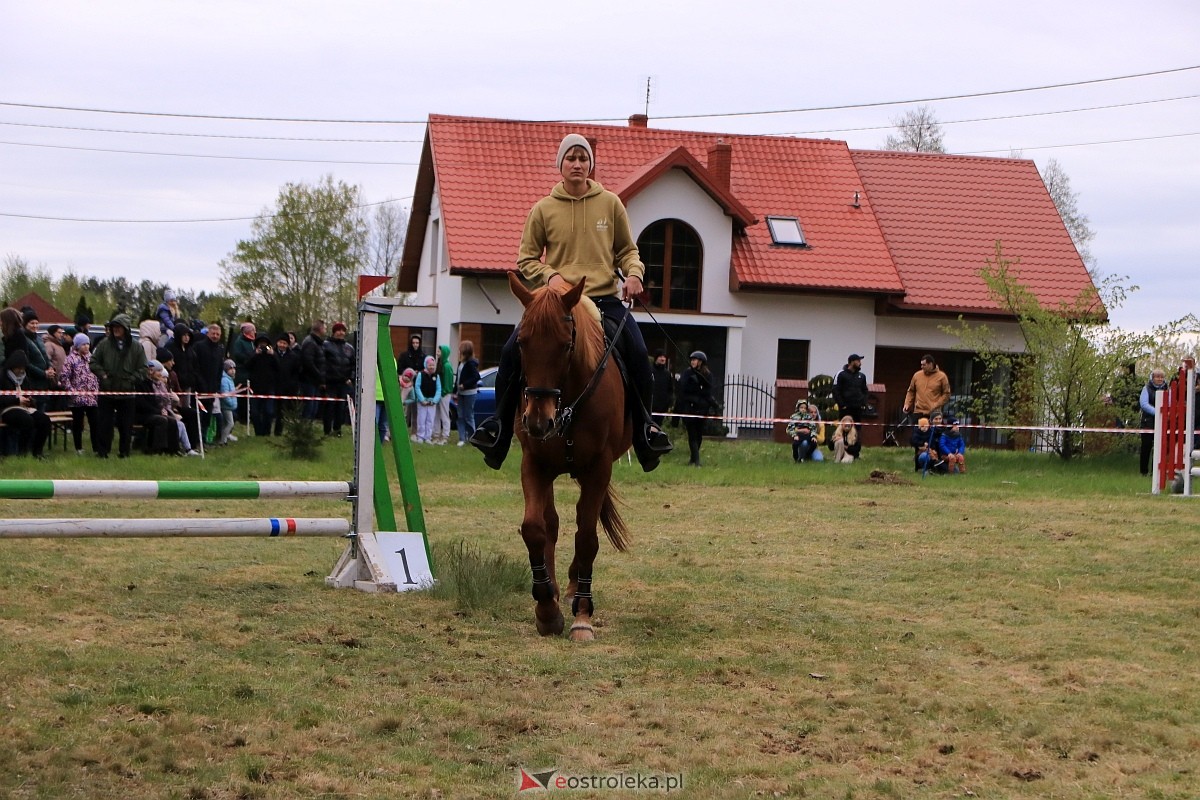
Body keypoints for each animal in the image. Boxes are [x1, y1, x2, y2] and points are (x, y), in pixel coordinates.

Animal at [506, 272, 638, 642]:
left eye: (566, 346)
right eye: (522, 344)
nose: (538, 422)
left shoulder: (599, 468)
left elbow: (587, 537)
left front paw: (582, 615)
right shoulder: (534, 464)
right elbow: (535, 528)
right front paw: (546, 608)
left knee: (583, 524)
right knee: (551, 523)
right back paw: (553, 589)